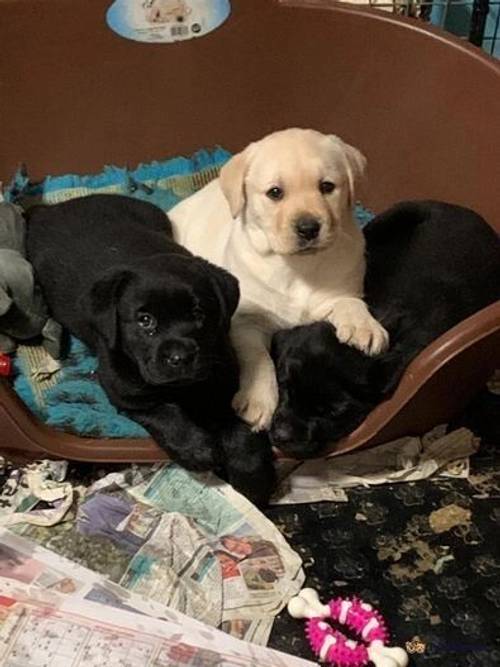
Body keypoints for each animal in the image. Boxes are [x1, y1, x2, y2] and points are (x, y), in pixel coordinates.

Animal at [25, 196, 276, 504]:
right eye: (145, 320)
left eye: (199, 313)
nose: (180, 358)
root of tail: (53, 207)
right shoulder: (126, 392)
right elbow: (165, 413)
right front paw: (198, 449)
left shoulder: (223, 379)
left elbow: (238, 425)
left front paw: (253, 477)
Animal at [170, 130, 388, 430]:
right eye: (275, 193)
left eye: (327, 186)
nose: (309, 228)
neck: (296, 266)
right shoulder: (246, 323)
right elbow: (258, 357)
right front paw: (257, 400)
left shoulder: (341, 289)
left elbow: (349, 302)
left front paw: (363, 327)